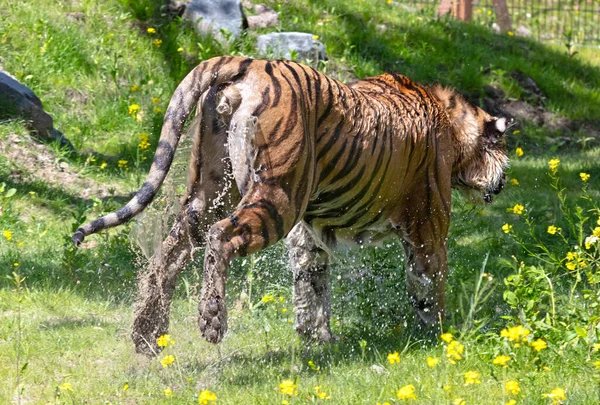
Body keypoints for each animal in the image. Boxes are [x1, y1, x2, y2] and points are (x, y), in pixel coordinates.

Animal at [72, 56, 508, 354]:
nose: (502, 181)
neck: (452, 122)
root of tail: (245, 62)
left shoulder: (308, 234)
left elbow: (312, 284)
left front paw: (318, 339)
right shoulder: (428, 225)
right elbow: (429, 283)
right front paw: (441, 338)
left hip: (211, 190)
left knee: (172, 249)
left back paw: (147, 334)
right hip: (277, 198)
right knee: (220, 237)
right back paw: (211, 321)